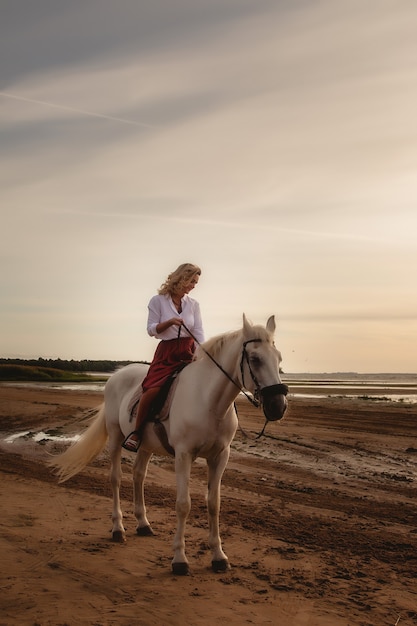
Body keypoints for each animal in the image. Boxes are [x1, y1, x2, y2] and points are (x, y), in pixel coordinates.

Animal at [49, 314, 286, 572]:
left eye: (279, 358)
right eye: (254, 359)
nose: (278, 406)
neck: (209, 401)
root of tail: (117, 374)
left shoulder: (220, 456)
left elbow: (214, 504)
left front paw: (218, 556)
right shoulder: (184, 455)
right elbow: (183, 504)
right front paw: (180, 559)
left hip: (145, 445)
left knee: (138, 475)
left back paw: (143, 524)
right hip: (115, 436)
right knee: (116, 479)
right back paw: (118, 528)